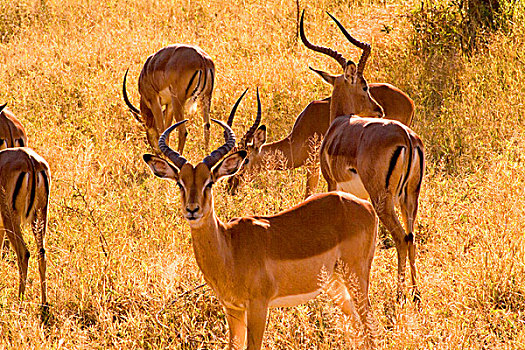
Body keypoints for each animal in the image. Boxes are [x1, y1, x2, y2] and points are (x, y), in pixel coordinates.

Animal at [0, 146, 50, 308]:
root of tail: (30, 160)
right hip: (40, 216)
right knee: (41, 252)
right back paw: (44, 304)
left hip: (11, 219)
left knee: (24, 253)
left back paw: (20, 300)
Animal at [142, 91, 376, 350]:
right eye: (180, 183)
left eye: (209, 182)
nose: (192, 210)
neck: (229, 248)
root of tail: (364, 206)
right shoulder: (232, 308)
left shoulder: (258, 306)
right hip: (335, 286)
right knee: (356, 329)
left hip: (356, 278)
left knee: (369, 326)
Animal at [298, 10, 426, 300]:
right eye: (365, 86)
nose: (378, 109)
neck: (340, 123)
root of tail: (407, 137)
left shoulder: (333, 185)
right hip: (409, 198)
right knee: (412, 236)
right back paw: (416, 295)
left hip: (384, 198)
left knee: (401, 238)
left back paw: (399, 296)